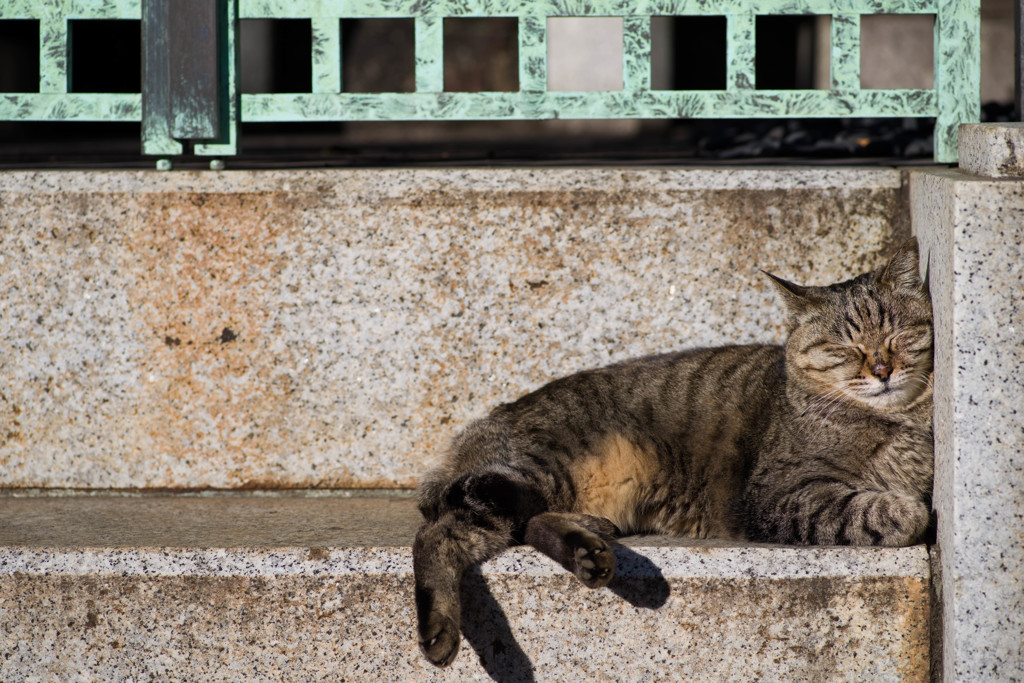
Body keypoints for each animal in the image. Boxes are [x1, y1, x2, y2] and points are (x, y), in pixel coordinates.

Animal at [411, 237, 933, 663]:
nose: (882, 369)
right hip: (536, 469)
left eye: (898, 335)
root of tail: (475, 432)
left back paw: (588, 553)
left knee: (519, 525)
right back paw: (439, 632)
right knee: (434, 535)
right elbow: (883, 511)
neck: (899, 424)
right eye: (845, 348)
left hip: (525, 492)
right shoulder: (780, 495)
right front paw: (907, 510)